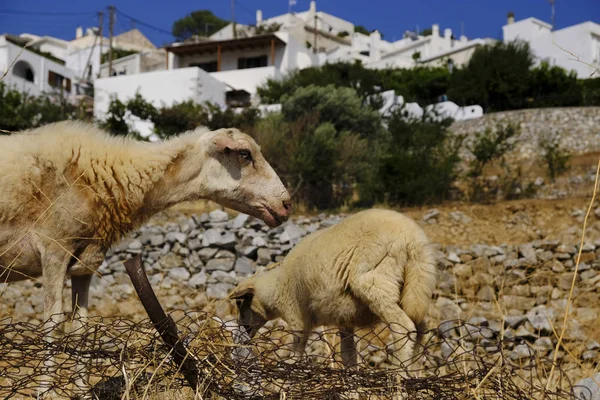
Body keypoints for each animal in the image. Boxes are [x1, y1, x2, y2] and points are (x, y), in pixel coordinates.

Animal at [0, 119, 290, 396]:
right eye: (244, 154)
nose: (287, 204)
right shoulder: (54, 251)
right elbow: (53, 326)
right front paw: (46, 392)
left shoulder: (84, 265)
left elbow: (82, 327)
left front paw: (81, 390)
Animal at [230, 208, 436, 374]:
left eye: (240, 302)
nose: (243, 332)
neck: (278, 287)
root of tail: (411, 238)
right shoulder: (345, 321)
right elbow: (348, 357)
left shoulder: (298, 319)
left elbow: (296, 355)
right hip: (414, 286)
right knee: (421, 329)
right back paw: (414, 371)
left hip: (374, 280)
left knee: (403, 327)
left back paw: (399, 375)